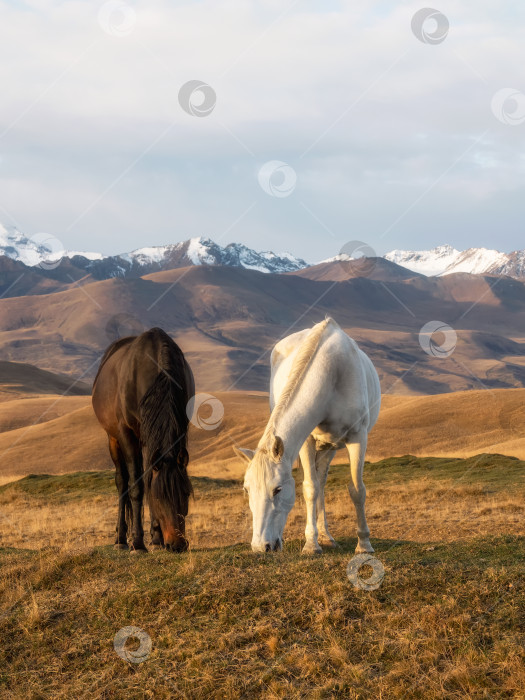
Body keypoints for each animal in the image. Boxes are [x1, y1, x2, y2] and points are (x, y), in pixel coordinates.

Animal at [92, 328, 194, 552]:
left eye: (186, 493)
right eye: (159, 497)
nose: (177, 545)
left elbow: (148, 478)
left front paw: (156, 539)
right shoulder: (126, 433)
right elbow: (137, 487)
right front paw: (138, 543)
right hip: (113, 439)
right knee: (122, 482)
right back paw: (121, 539)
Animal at [235, 318, 378, 552]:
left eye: (277, 489)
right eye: (247, 490)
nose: (261, 546)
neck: (331, 372)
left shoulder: (358, 438)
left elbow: (357, 490)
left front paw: (364, 544)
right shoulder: (306, 441)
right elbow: (310, 488)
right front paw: (311, 544)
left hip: (330, 447)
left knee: (323, 481)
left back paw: (328, 536)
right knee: (317, 484)